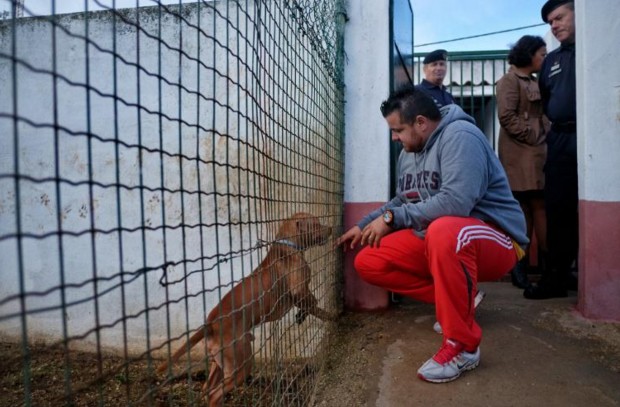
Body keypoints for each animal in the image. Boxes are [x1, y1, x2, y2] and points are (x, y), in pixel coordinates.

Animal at [157, 212, 336, 406]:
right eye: (316, 224)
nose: (331, 228)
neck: (287, 244)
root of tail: (211, 323)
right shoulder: (300, 291)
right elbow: (316, 305)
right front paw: (332, 316)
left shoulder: (301, 295)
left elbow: (311, 304)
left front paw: (302, 315)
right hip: (241, 364)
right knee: (215, 394)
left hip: (219, 363)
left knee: (207, 388)